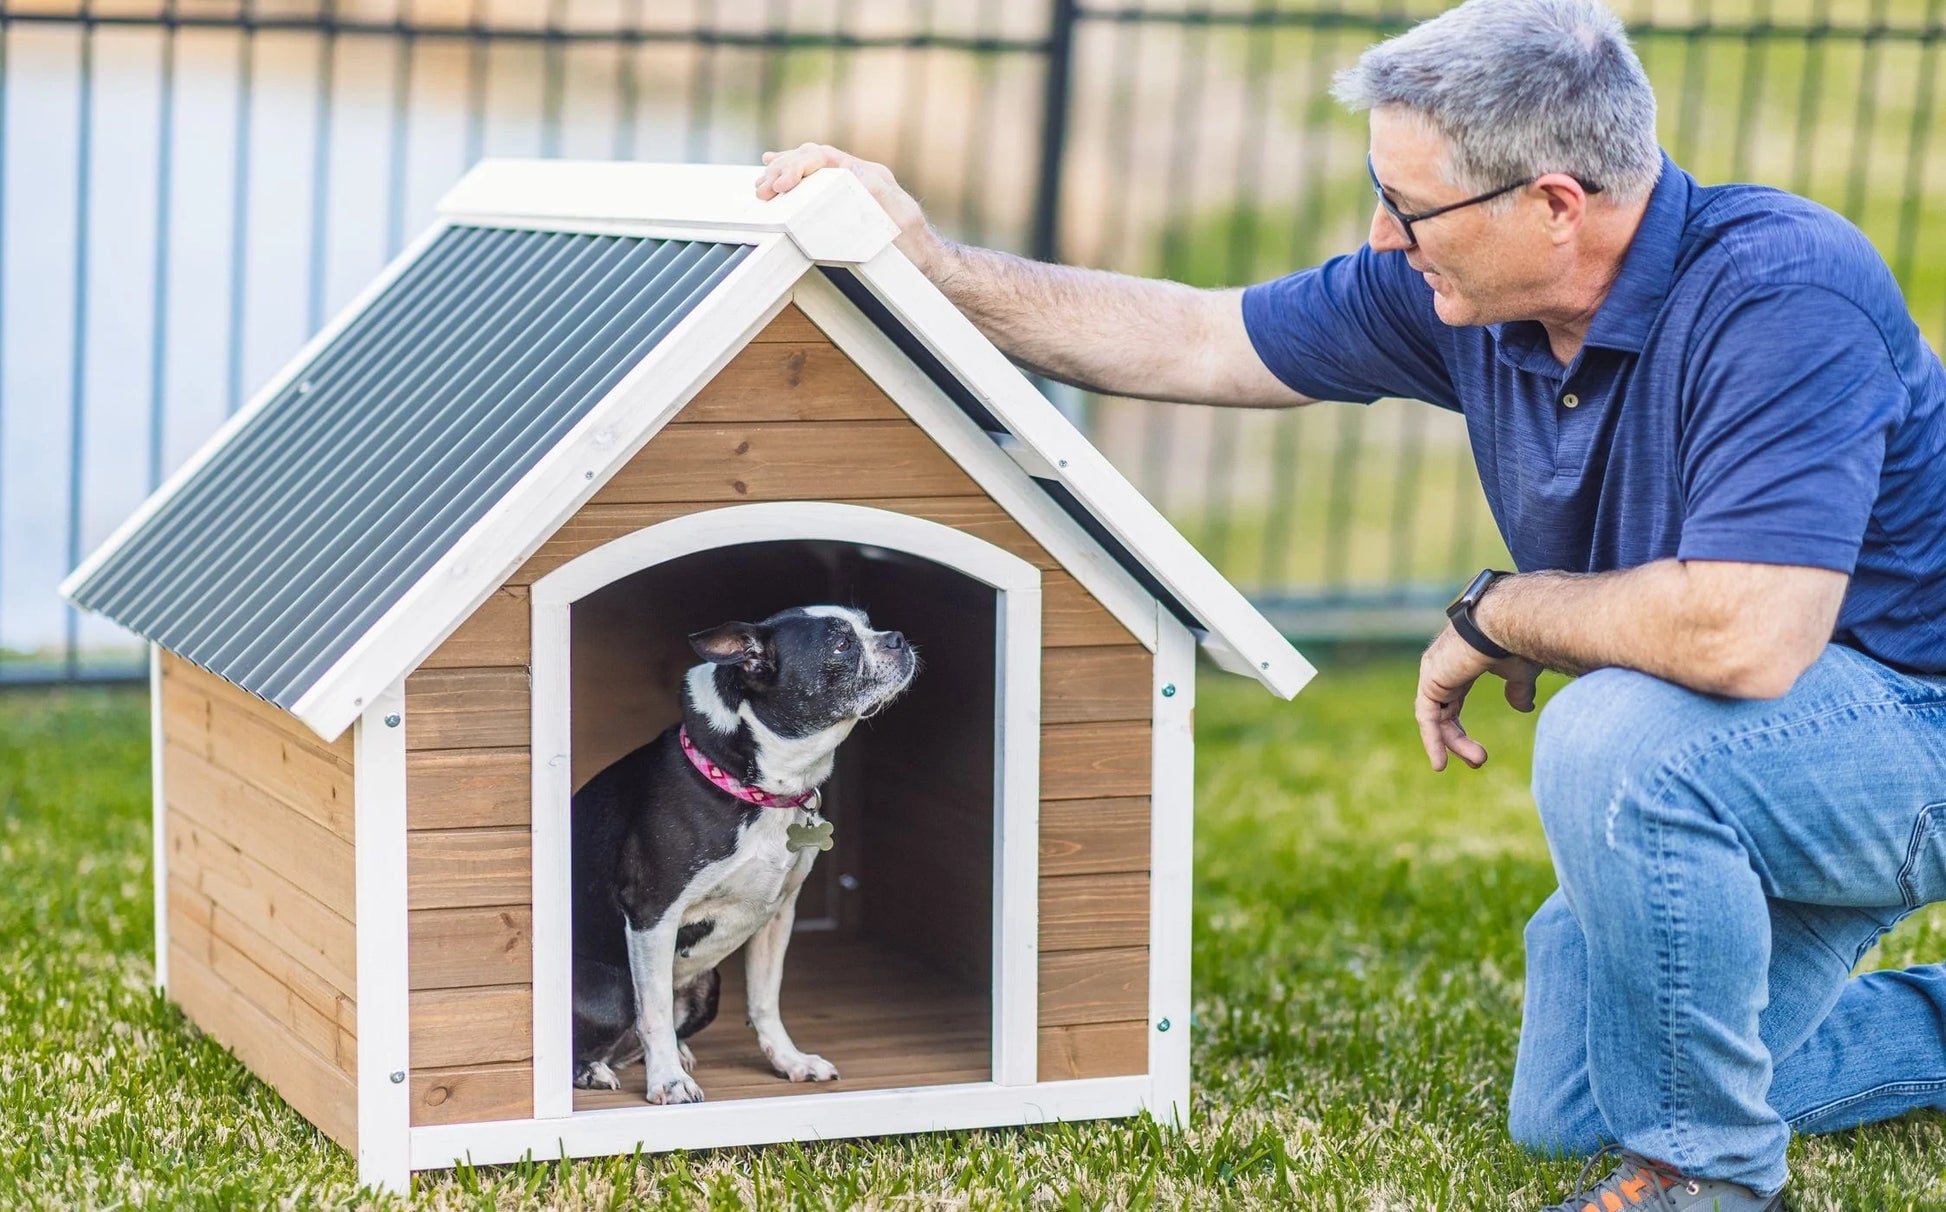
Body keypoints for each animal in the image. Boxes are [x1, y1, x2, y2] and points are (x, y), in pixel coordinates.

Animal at [568, 603, 918, 1105]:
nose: (897, 638)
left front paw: (789, 1061)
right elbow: (653, 1010)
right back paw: (596, 1069)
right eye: (841, 645)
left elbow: (765, 1000)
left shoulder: (777, 914)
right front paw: (668, 1081)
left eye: (868, 624)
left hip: (708, 986)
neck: (758, 788)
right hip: (613, 989)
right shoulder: (652, 915)